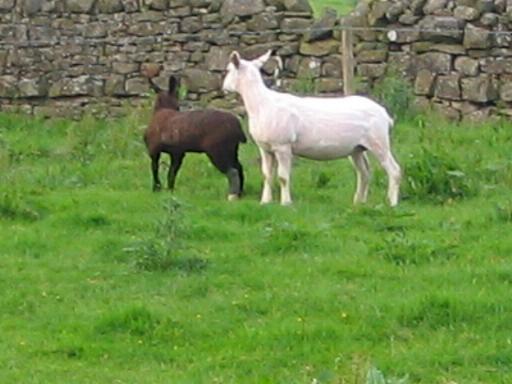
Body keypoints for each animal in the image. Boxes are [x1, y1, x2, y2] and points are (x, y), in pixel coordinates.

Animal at [222, 51, 402, 207]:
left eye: (228, 70)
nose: (224, 88)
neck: (261, 104)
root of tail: (386, 115)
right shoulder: (265, 148)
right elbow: (267, 176)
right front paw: (265, 202)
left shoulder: (282, 146)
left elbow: (283, 177)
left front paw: (285, 203)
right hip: (357, 148)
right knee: (364, 173)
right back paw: (359, 202)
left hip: (379, 142)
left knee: (394, 170)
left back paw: (392, 203)